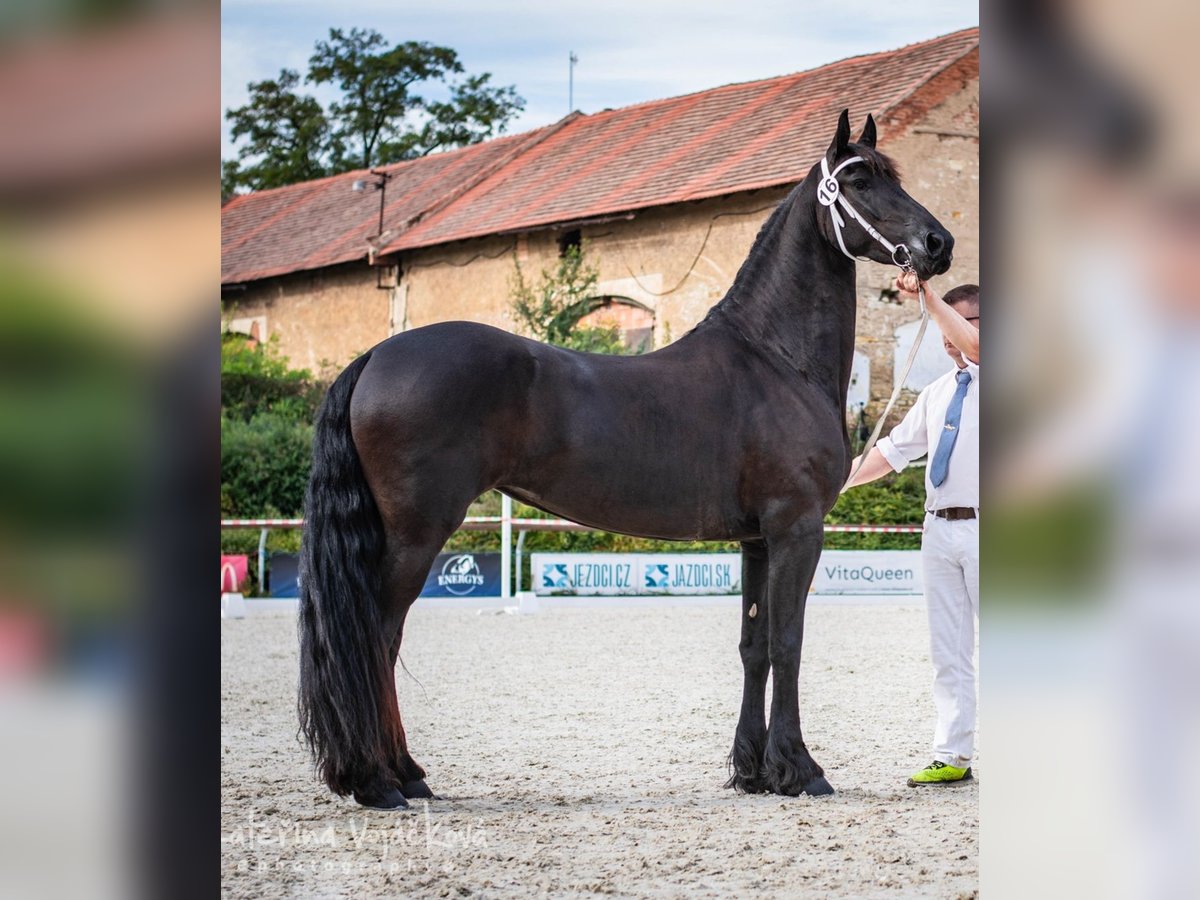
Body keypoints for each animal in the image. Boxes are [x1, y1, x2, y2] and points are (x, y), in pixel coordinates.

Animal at [295, 111, 950, 811]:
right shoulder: (796, 529)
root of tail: (376, 356)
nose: (938, 244)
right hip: (415, 535)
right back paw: (382, 779)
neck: (775, 359)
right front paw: (800, 769)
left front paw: (753, 771)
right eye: (858, 181)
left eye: (893, 176)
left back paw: (400, 774)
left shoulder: (757, 540)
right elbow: (789, 644)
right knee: (377, 637)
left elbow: (754, 646)